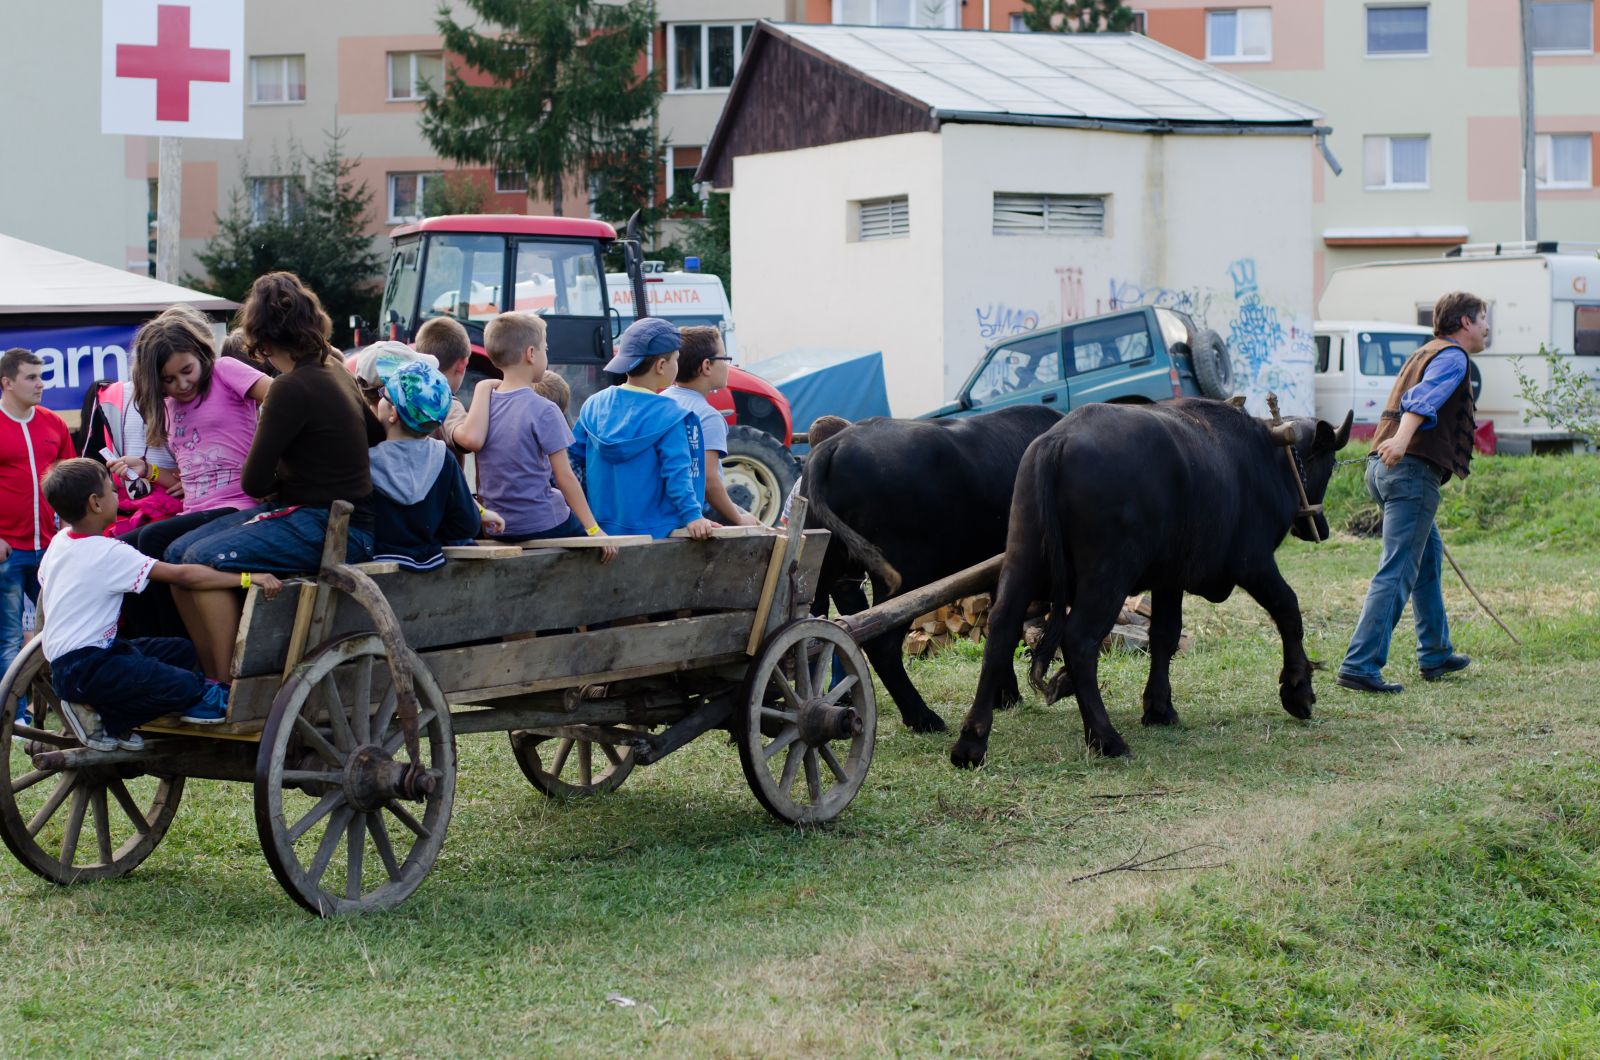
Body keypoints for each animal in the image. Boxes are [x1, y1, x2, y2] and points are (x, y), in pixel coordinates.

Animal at [806, 408, 1056, 739]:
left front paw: (1006, 695)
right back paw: (922, 717)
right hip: (906, 577)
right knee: (882, 644)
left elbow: (999, 627)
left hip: (824, 570)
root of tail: (835, 445)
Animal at [947, 397, 1350, 765]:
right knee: (1079, 641)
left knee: (1001, 629)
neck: (1269, 457)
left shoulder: (1169, 580)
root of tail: (1057, 442)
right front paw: (1298, 690)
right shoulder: (1254, 564)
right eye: (1330, 465)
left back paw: (971, 742)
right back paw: (1106, 739)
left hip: (1022, 558)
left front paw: (1158, 707)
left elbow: (1164, 636)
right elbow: (1288, 610)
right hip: (1109, 575)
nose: (1321, 526)